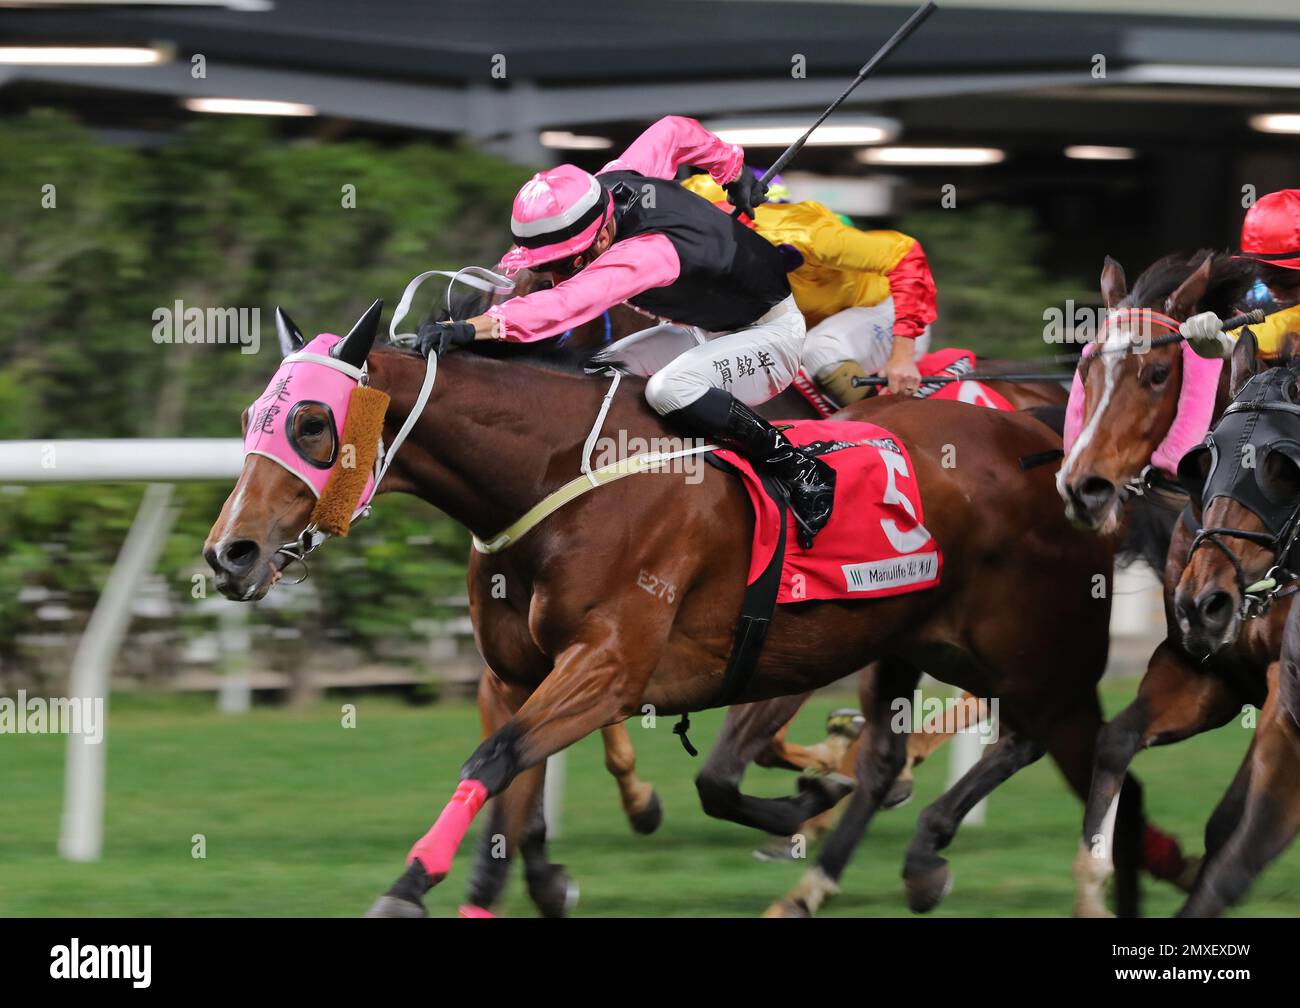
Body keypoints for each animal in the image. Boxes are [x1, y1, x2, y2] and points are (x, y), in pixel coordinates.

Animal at [205, 303, 1128, 920]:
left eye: (312, 422)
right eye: (252, 416)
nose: (229, 553)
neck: (560, 475)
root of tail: (1042, 437)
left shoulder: (615, 665)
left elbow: (502, 761)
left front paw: (409, 885)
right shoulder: (515, 675)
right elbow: (515, 782)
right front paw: (529, 880)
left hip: (1015, 643)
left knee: (1035, 730)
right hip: (921, 637)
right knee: (941, 745)